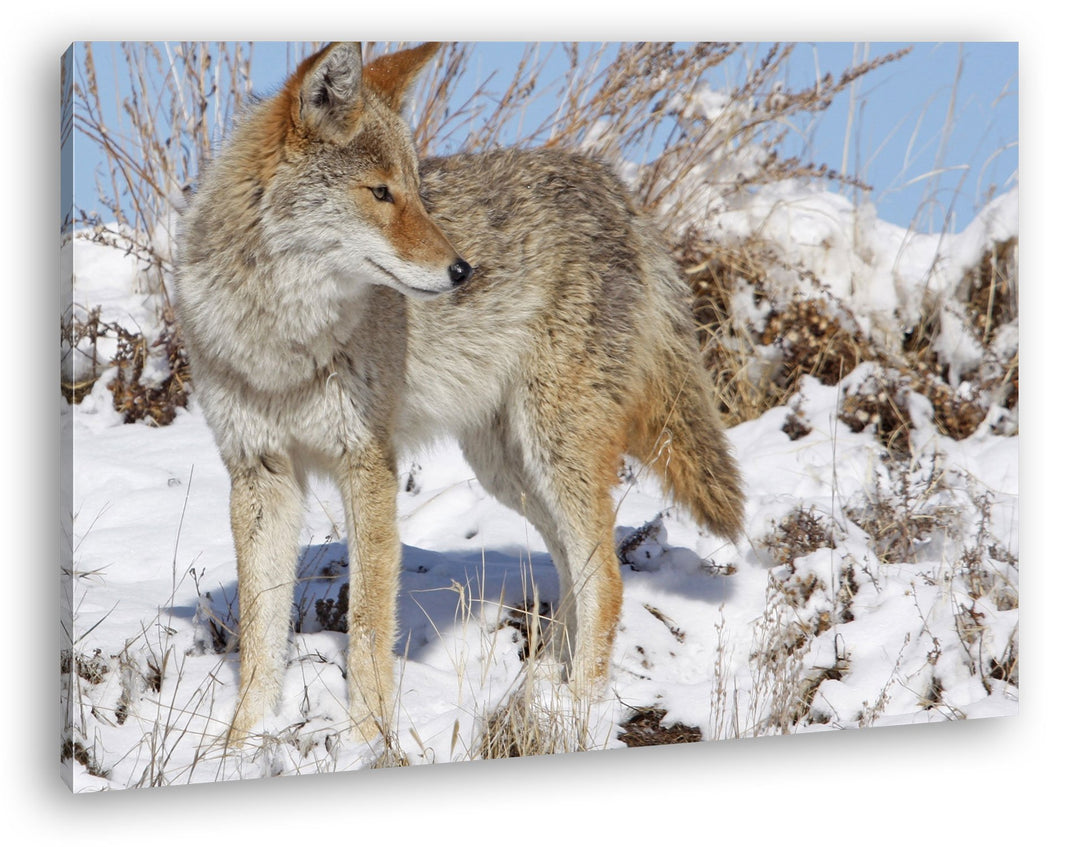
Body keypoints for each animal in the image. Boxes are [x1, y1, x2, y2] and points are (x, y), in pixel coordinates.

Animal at [176, 41, 743, 746]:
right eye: (381, 192)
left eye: (417, 191)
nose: (462, 271)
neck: (281, 339)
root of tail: (614, 189)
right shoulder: (260, 475)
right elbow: (260, 635)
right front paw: (240, 744)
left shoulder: (368, 466)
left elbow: (368, 624)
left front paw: (367, 740)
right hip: (509, 469)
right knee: (574, 571)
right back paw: (542, 688)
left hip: (554, 450)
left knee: (607, 579)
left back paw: (577, 709)